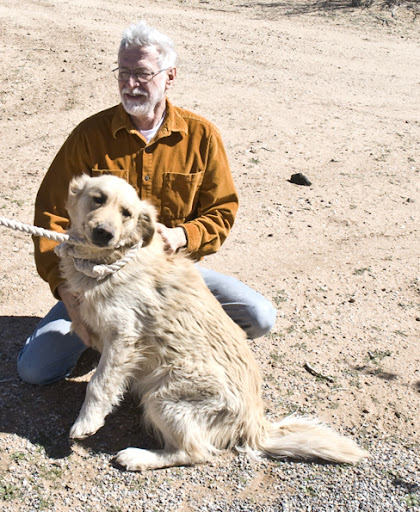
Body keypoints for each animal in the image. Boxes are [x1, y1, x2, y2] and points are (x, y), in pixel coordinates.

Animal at [58, 174, 368, 470]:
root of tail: (256, 426)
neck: (111, 263)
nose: (104, 233)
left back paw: (138, 457)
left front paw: (86, 422)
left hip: (164, 396)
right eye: (98, 199)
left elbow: (98, 383)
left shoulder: (124, 337)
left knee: (195, 452)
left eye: (127, 213)